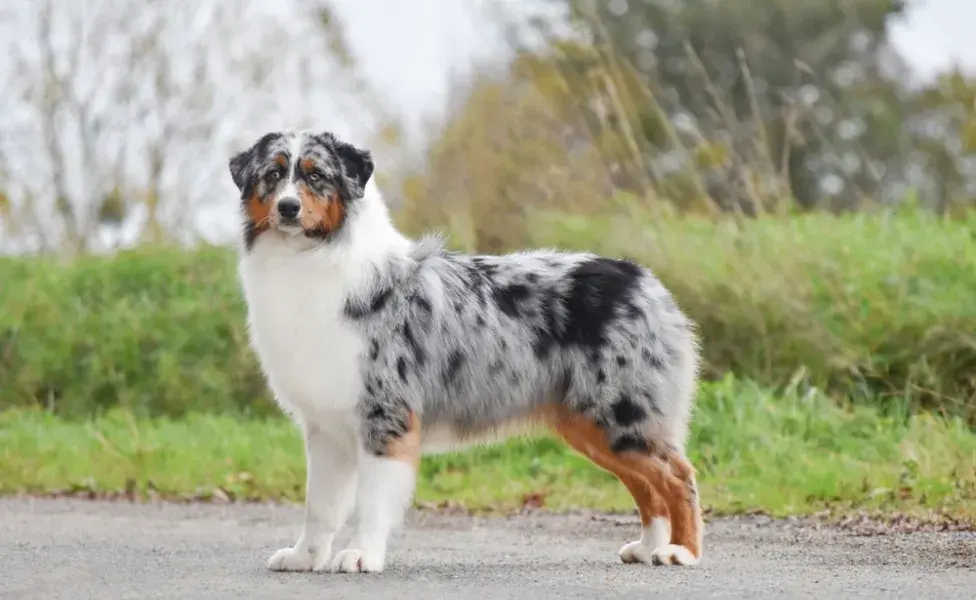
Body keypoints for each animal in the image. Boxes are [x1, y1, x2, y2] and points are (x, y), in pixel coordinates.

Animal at [227, 130, 700, 572]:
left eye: (316, 176)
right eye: (273, 175)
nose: (288, 208)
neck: (310, 258)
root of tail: (645, 280)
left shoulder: (385, 414)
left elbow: (371, 503)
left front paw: (361, 555)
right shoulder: (326, 426)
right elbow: (320, 507)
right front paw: (303, 557)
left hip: (620, 414)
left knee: (678, 475)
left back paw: (681, 552)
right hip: (593, 425)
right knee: (647, 484)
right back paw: (648, 548)